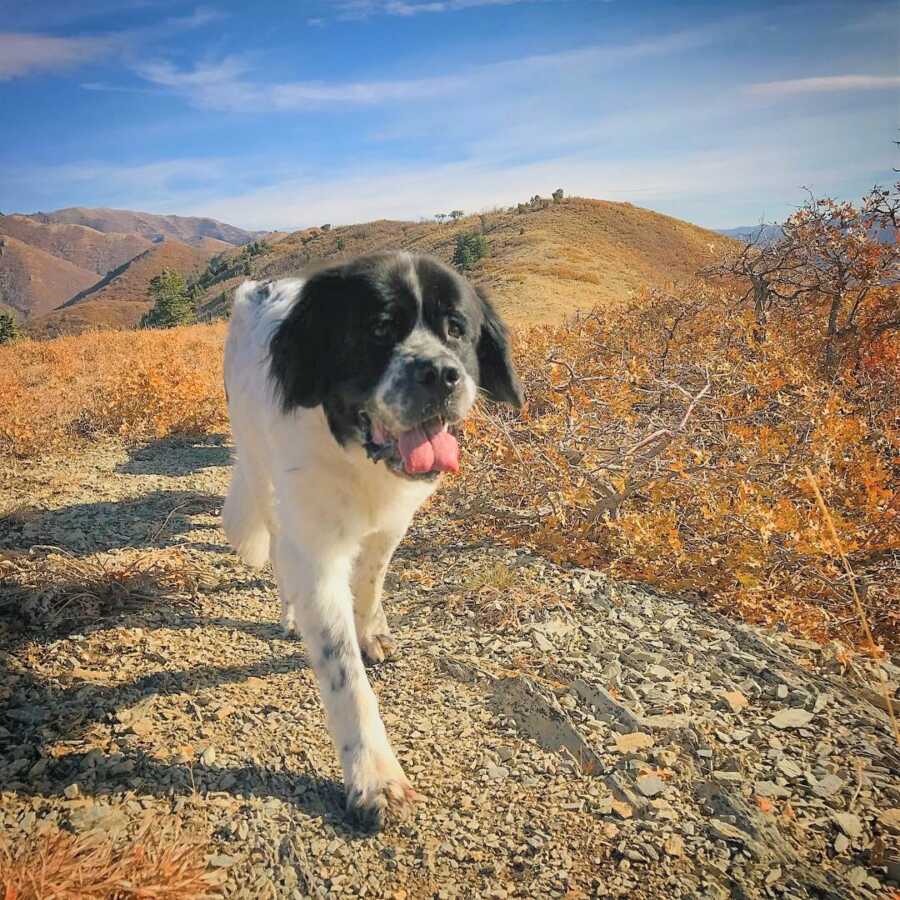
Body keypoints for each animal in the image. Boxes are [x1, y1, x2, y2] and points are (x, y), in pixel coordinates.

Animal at [221, 250, 524, 828]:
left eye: (457, 330)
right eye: (379, 329)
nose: (441, 374)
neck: (356, 455)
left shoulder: (392, 522)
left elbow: (371, 579)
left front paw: (371, 628)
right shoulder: (316, 549)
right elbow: (346, 676)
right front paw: (375, 777)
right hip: (259, 466)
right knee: (276, 540)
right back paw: (289, 610)